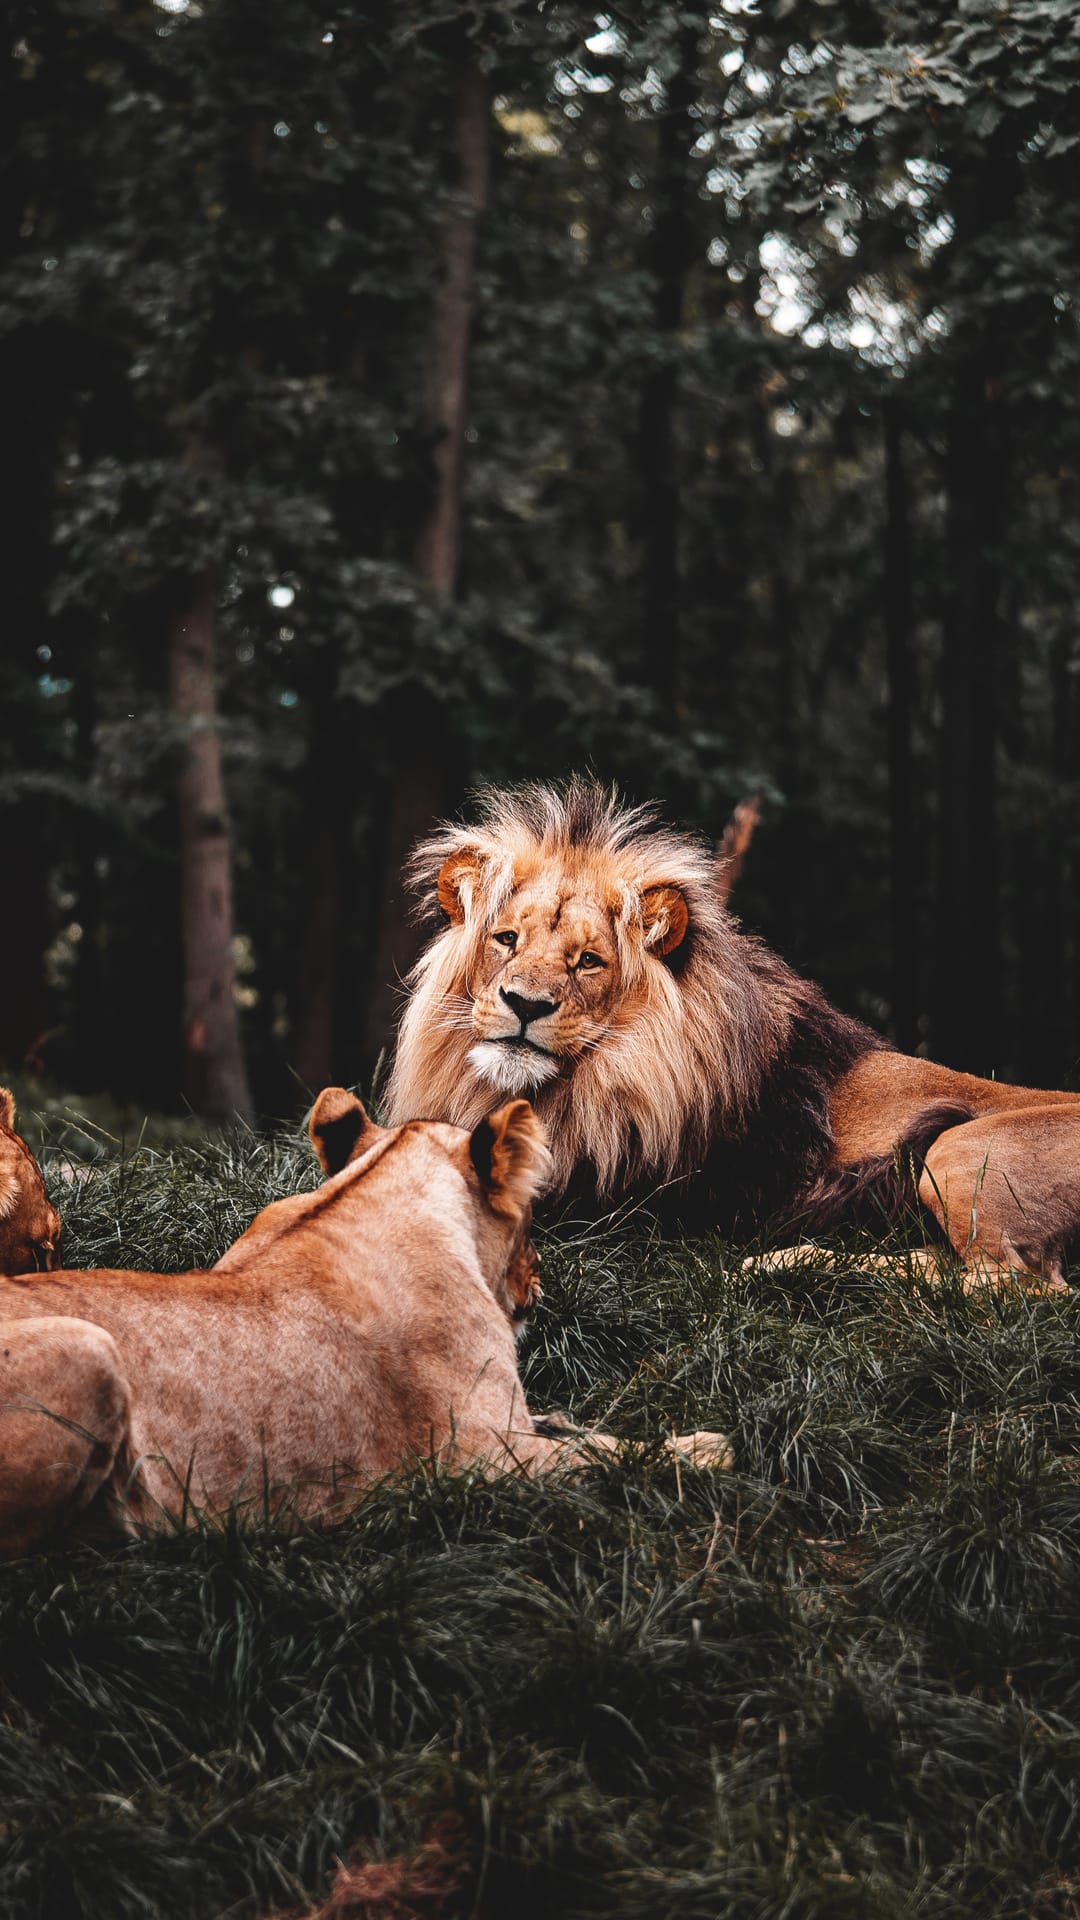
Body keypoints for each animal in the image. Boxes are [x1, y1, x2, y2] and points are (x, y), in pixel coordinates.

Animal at [385, 779, 1080, 1287]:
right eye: (506, 939)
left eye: (588, 962)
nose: (524, 1004)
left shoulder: (618, 1206)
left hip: (959, 1152)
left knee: (1013, 1287)